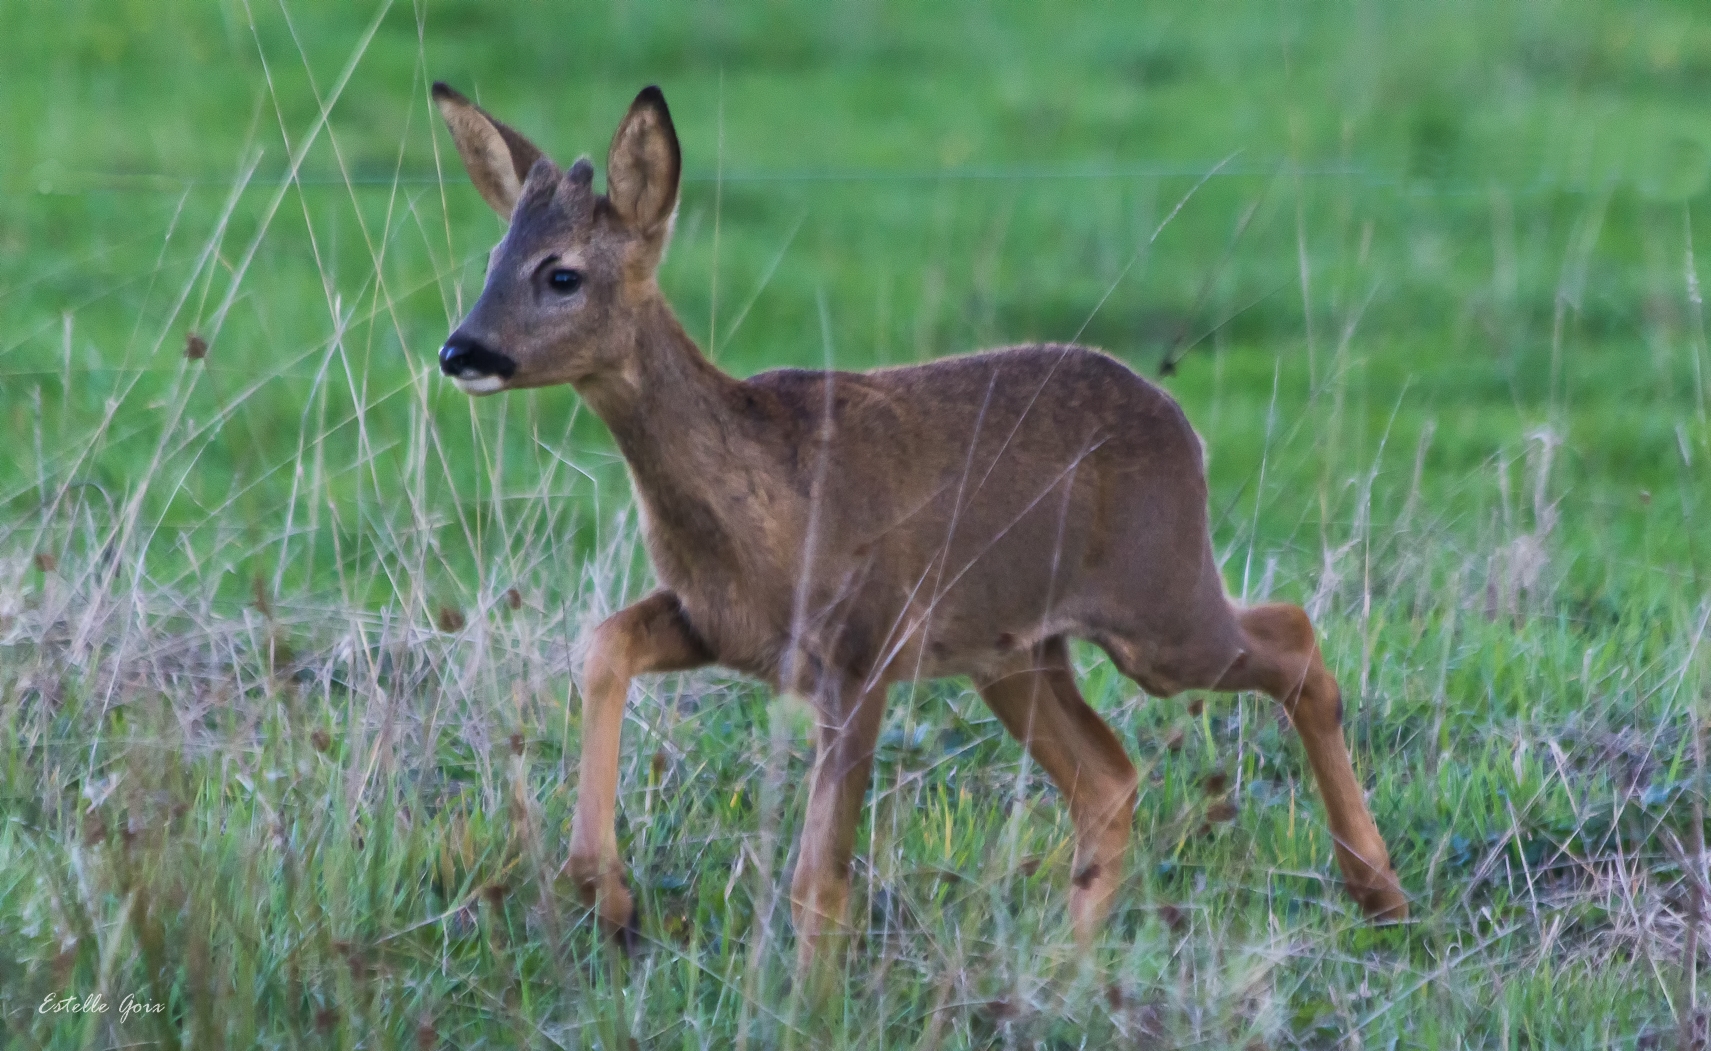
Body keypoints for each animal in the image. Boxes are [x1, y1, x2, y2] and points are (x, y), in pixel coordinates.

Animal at [427, 82, 1403, 972]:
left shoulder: (862, 646)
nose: (460, 350)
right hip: (1015, 650)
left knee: (1293, 640)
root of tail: (1180, 425)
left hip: (1155, 606)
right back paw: (1064, 970)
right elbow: (605, 642)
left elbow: (817, 880)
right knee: (1109, 776)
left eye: (561, 272)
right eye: (493, 258)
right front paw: (612, 899)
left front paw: (808, 1011)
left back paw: (1377, 894)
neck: (762, 500)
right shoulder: (720, 620)